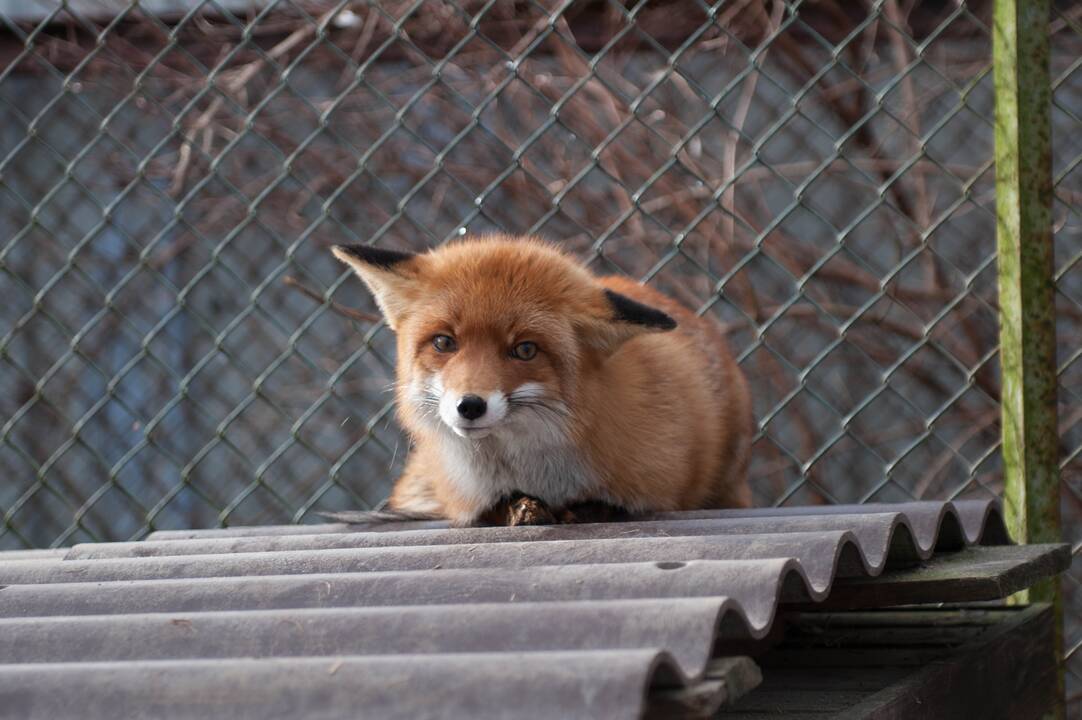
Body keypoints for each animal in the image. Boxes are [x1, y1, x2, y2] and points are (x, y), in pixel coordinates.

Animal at [328, 238, 753, 526]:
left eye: (525, 350)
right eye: (444, 342)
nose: (470, 405)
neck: (540, 474)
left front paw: (582, 510)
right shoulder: (471, 502)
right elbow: (498, 509)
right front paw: (522, 509)